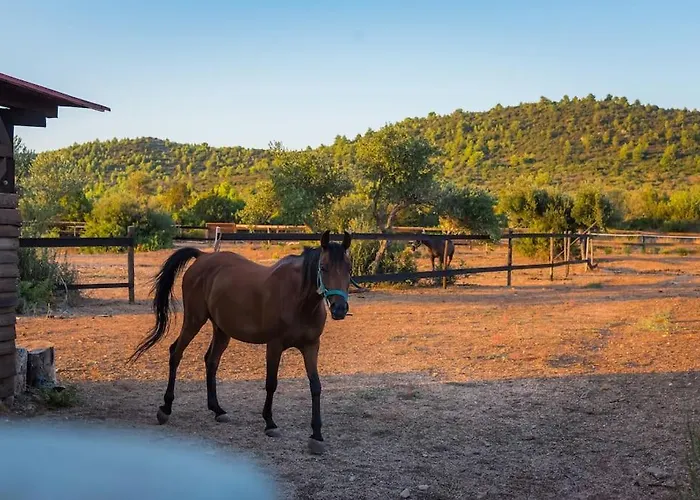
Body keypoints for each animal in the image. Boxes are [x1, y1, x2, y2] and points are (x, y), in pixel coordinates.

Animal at [128, 230, 353, 455]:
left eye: (349, 269)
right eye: (323, 268)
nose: (339, 309)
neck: (299, 300)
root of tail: (202, 256)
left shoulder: (311, 346)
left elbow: (316, 386)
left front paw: (317, 436)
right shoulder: (275, 345)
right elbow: (271, 383)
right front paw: (270, 423)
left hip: (221, 330)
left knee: (211, 361)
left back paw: (217, 410)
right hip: (194, 320)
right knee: (176, 353)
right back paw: (165, 408)